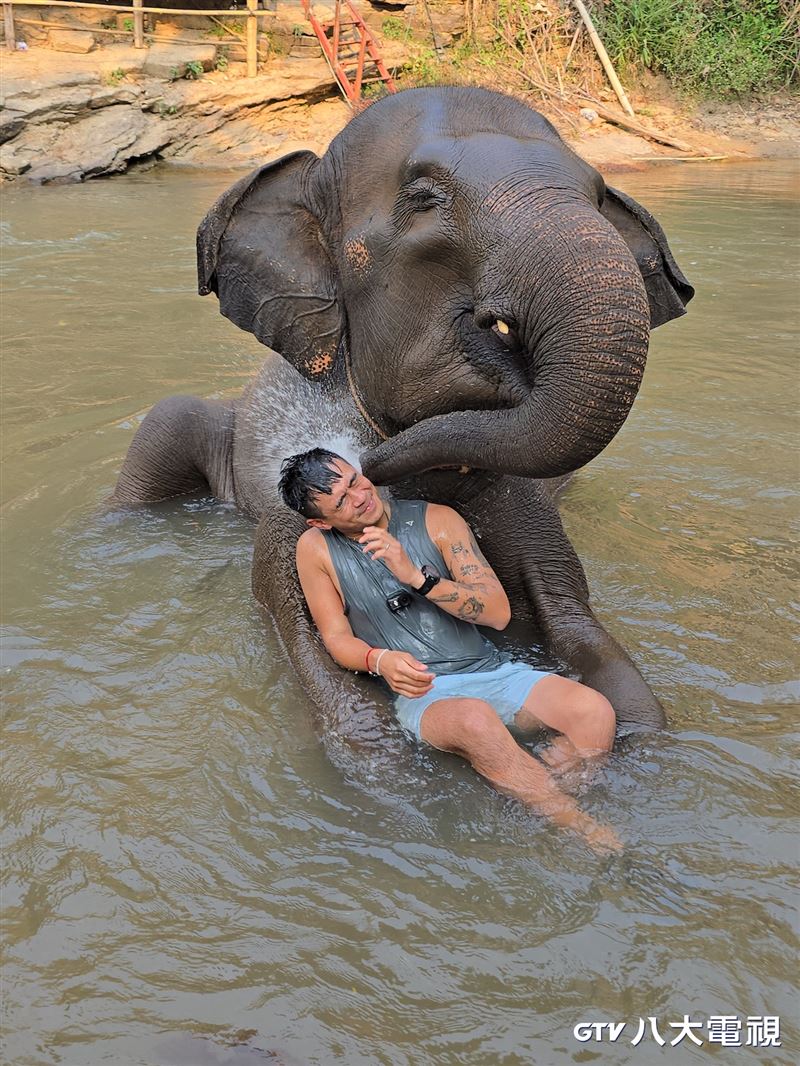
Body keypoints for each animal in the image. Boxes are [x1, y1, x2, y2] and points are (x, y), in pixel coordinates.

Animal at [114, 86, 693, 779]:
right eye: (423, 197)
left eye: (600, 193)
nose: (365, 468)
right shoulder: (285, 535)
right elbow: (335, 683)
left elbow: (582, 632)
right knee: (164, 425)